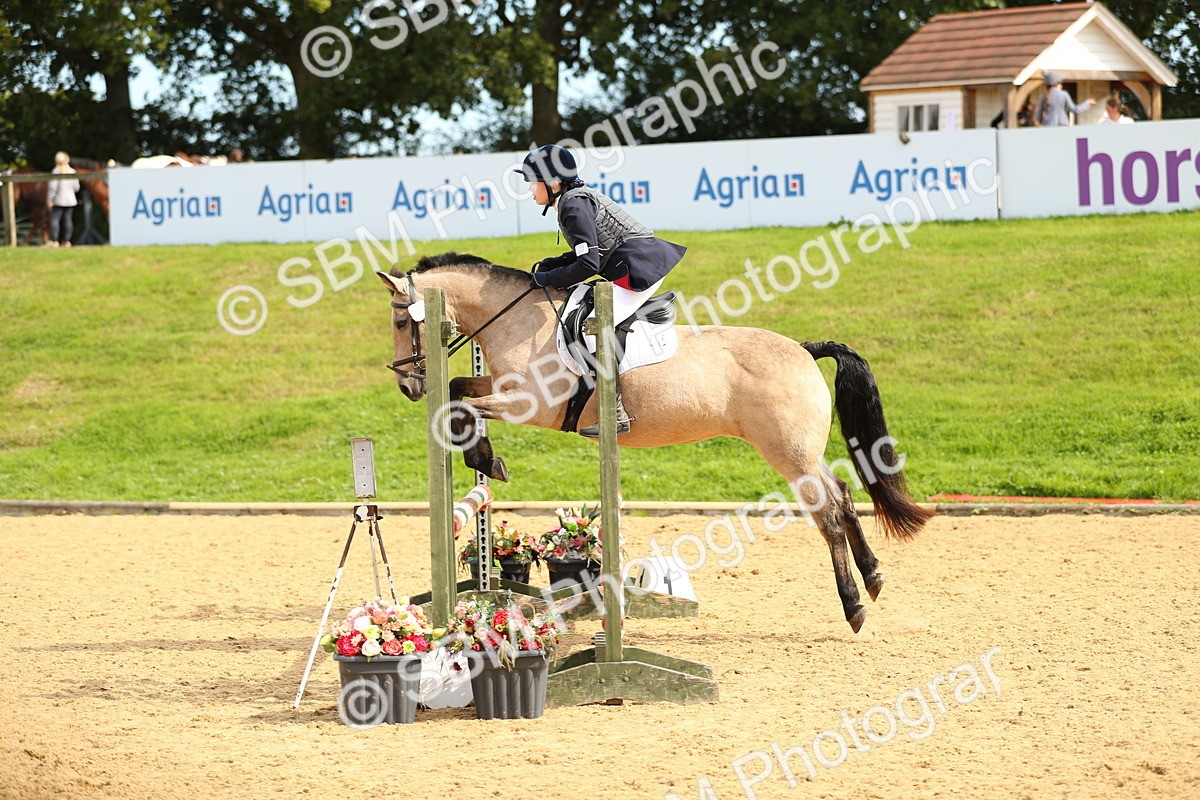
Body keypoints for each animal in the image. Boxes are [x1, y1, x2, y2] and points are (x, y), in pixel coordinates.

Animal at [378, 252, 934, 632]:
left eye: (402, 320)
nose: (407, 386)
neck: (517, 321)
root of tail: (803, 349)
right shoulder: (500, 388)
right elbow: (458, 391)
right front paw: (485, 457)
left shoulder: (531, 404)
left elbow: (462, 407)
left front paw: (485, 458)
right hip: (801, 453)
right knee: (843, 495)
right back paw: (874, 577)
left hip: (789, 455)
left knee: (829, 512)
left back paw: (855, 604)